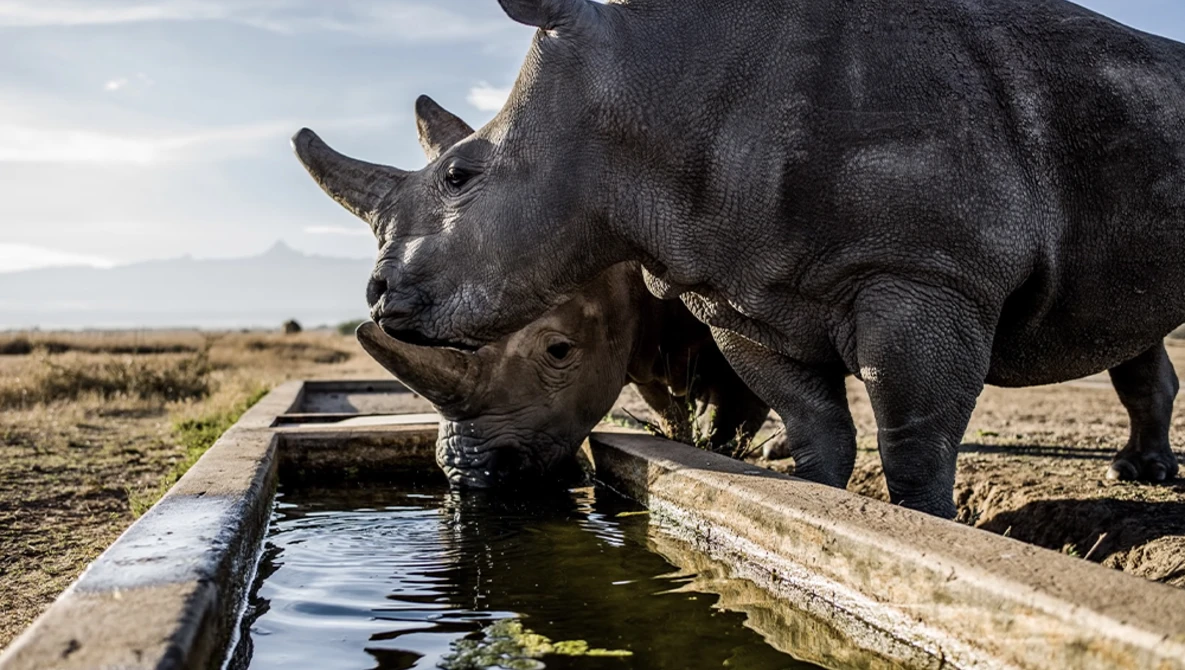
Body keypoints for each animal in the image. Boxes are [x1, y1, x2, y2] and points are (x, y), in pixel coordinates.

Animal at [354, 97, 769, 489]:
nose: (469, 474)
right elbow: (664, 405)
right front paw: (678, 436)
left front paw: (718, 449)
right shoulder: (640, 339)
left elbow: (734, 410)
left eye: (559, 350)